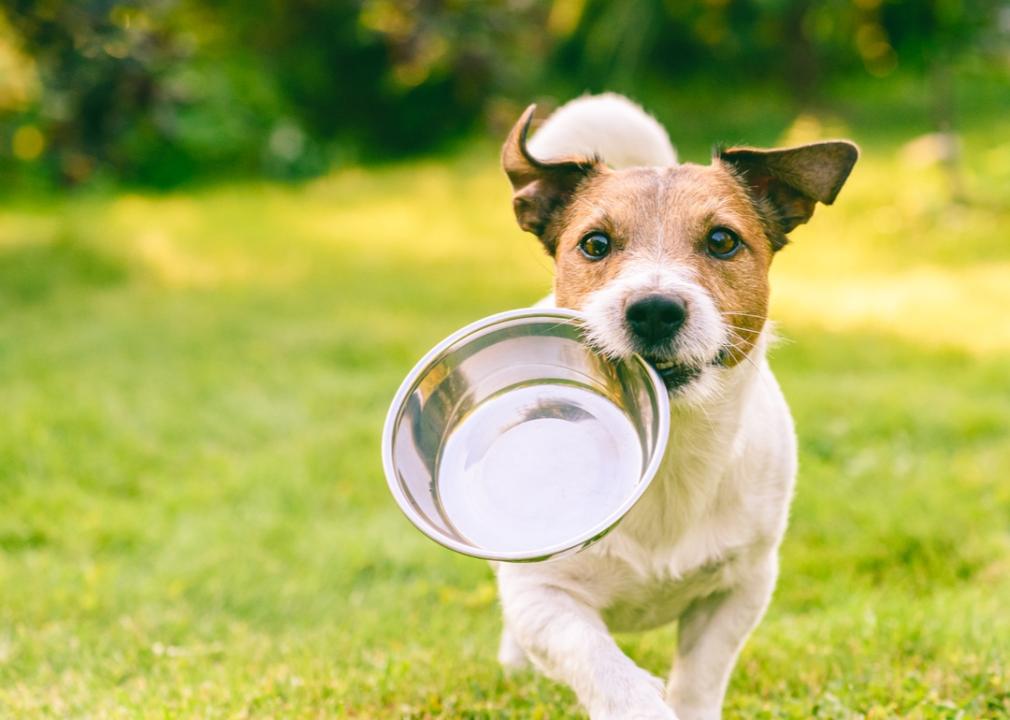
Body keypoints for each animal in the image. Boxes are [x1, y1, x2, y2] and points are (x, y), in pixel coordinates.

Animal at [492, 95, 856, 718]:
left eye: (722, 240)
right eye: (594, 244)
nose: (655, 309)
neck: (671, 452)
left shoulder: (740, 589)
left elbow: (699, 679)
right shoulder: (543, 596)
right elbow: (600, 662)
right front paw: (636, 700)